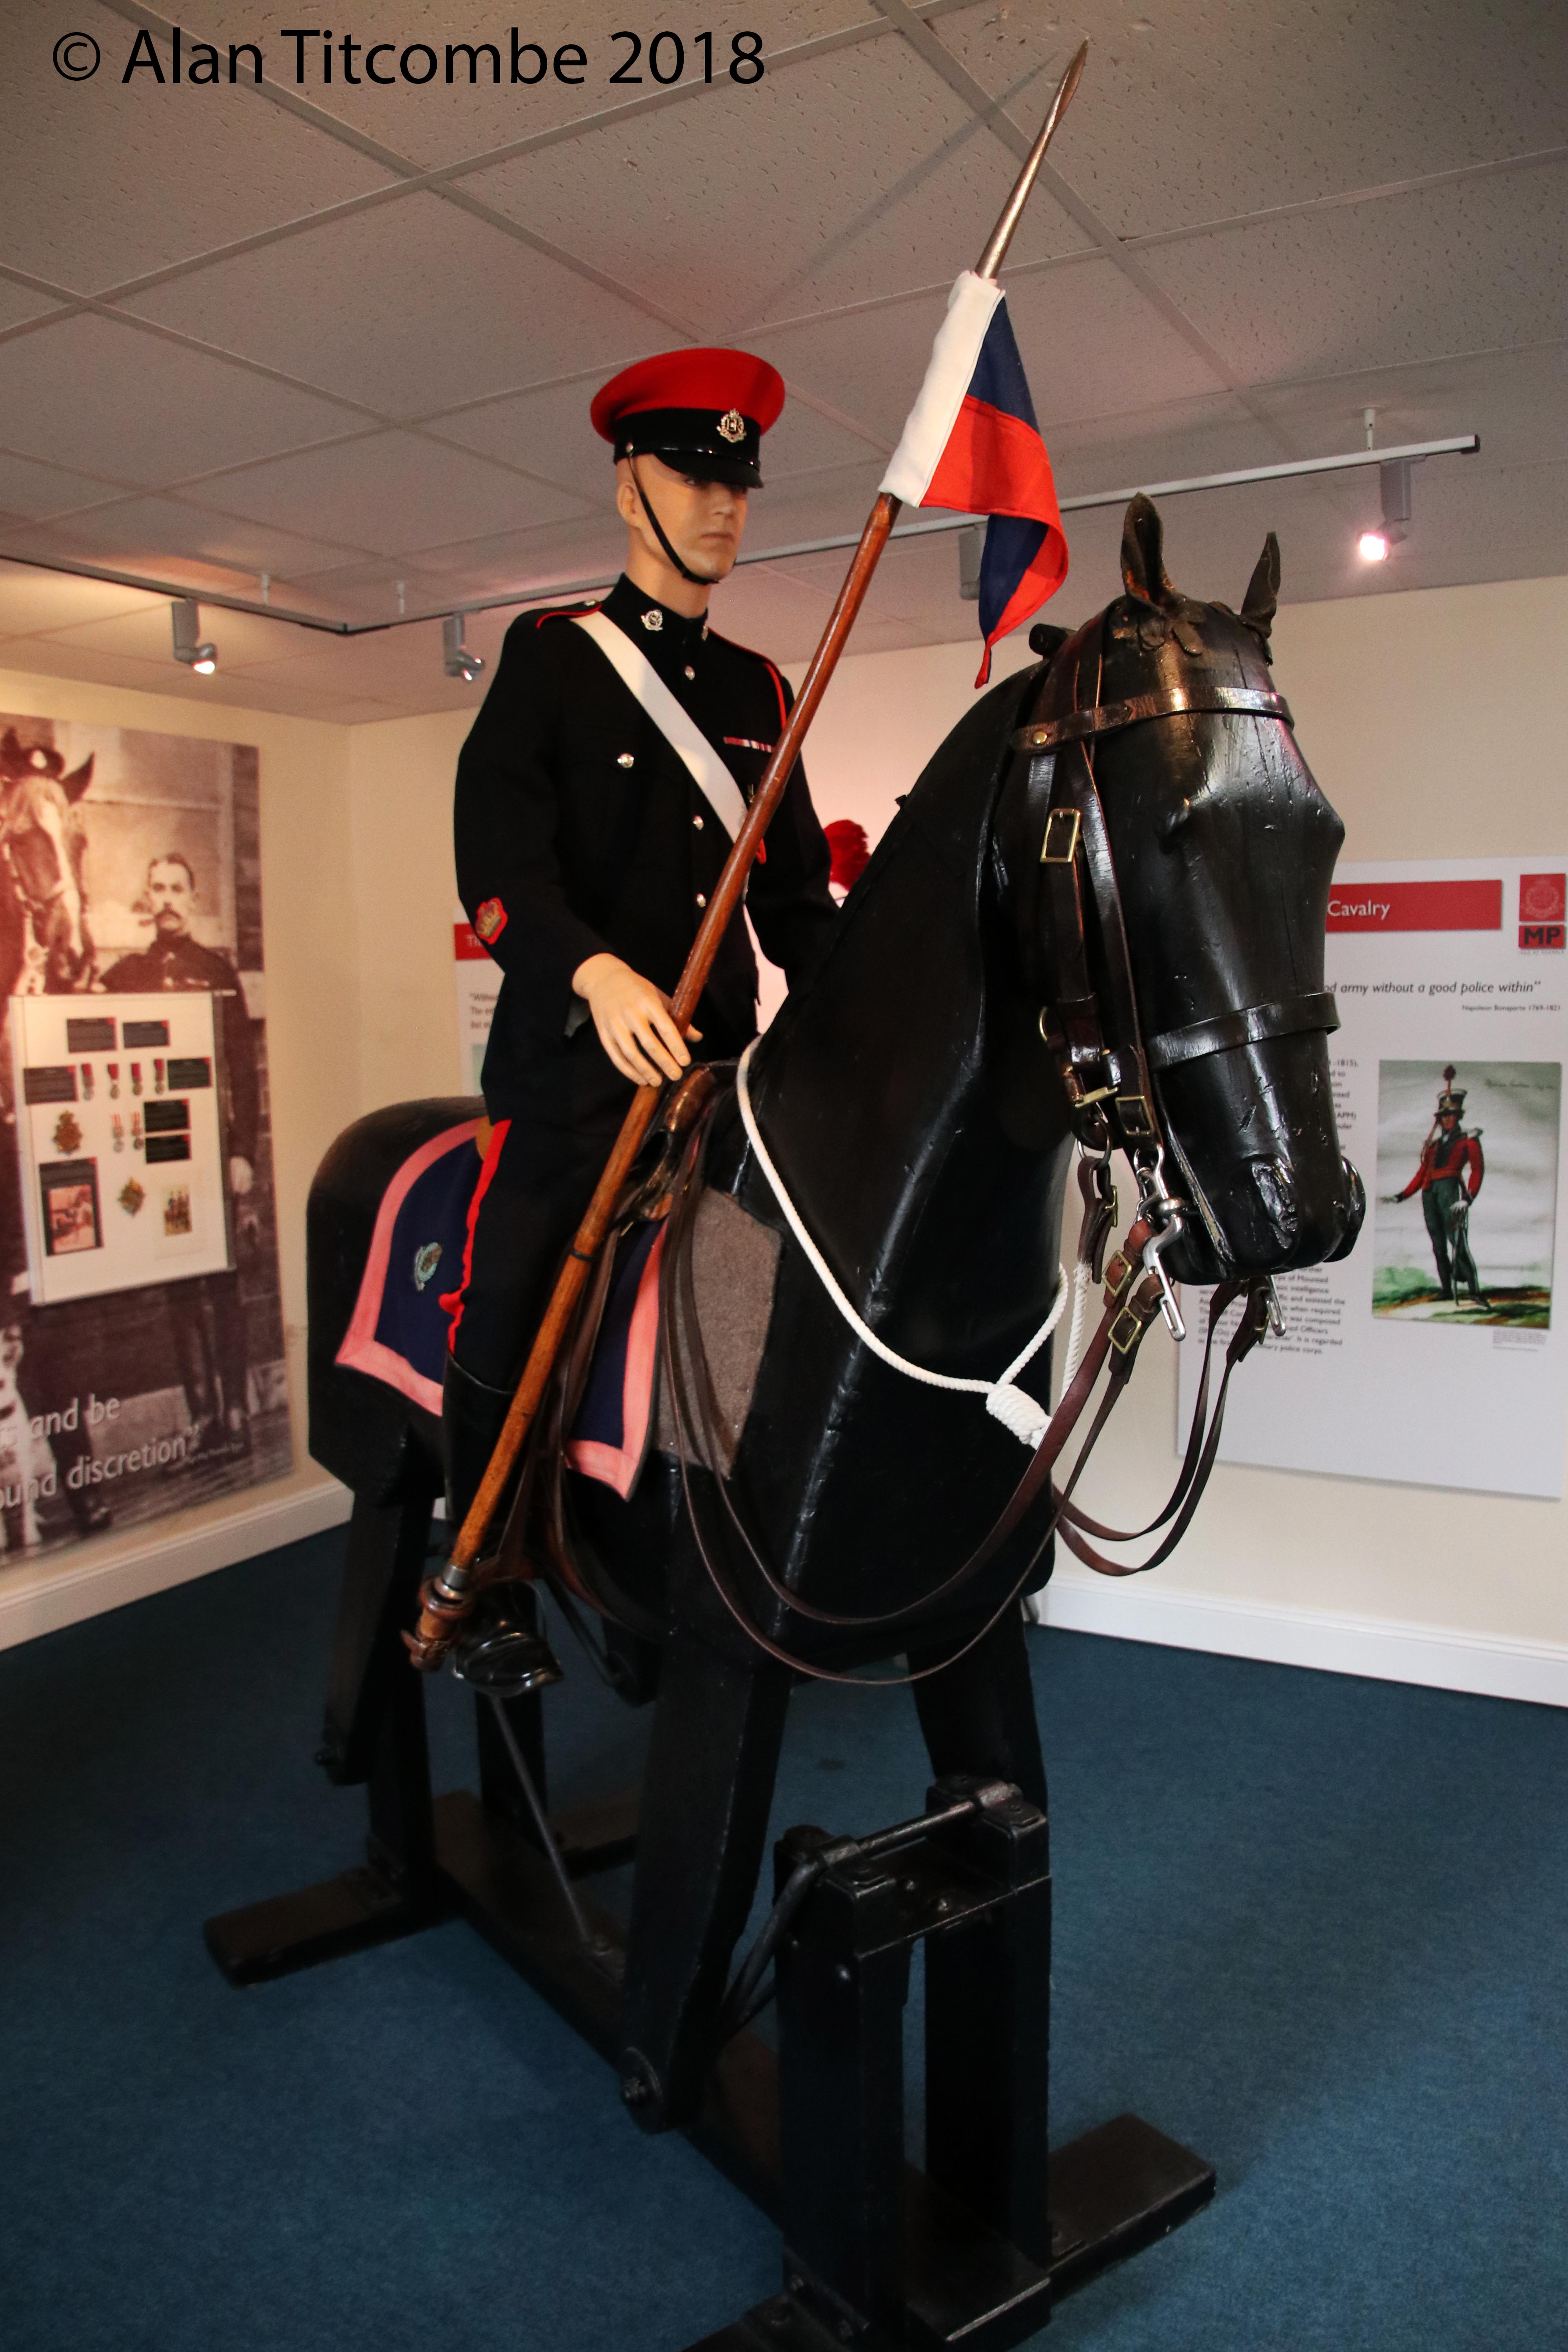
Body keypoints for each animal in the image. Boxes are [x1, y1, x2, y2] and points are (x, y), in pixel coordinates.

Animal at [304, 496, 1363, 2142]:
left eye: (1317, 837)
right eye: (1170, 831)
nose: (1296, 1208)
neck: (881, 1256)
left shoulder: (959, 1627)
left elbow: (1006, 1826)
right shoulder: (731, 1662)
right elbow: (685, 1953)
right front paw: (653, 2069)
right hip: (381, 1469)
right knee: (384, 1622)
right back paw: (440, 1679)